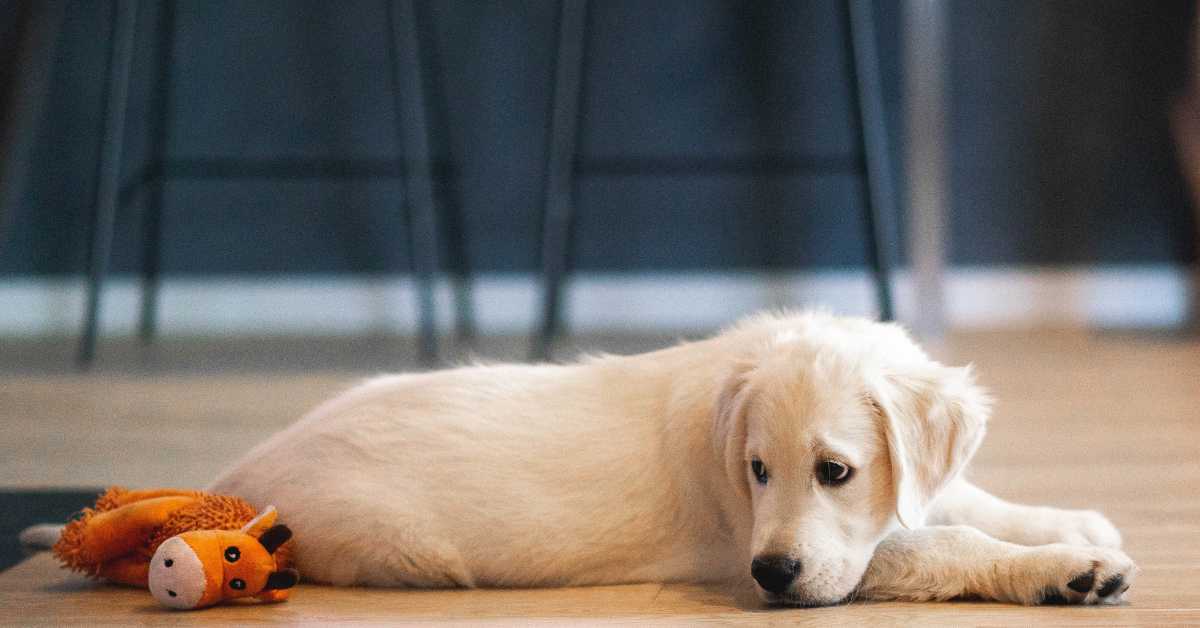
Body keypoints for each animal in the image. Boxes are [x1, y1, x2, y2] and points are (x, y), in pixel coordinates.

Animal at [208, 312, 1132, 607]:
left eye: (834, 471)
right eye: (756, 472)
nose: (773, 577)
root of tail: (238, 477)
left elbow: (961, 500)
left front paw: (1075, 525)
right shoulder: (751, 548)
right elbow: (945, 542)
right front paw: (1067, 569)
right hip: (399, 548)